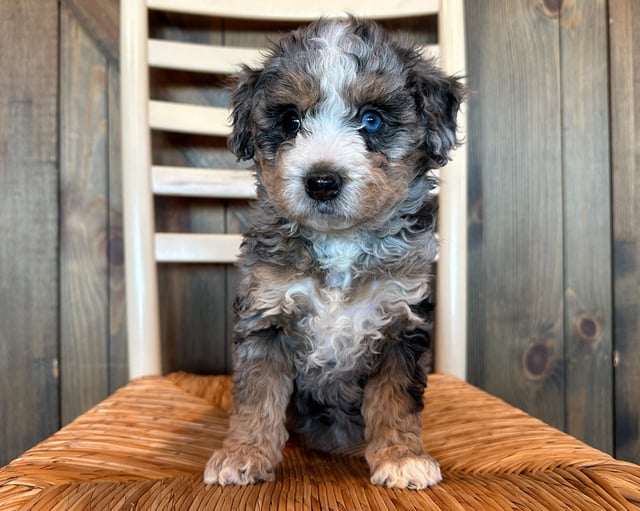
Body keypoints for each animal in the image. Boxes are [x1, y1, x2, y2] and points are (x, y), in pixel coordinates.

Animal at [208, 17, 462, 492]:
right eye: (291, 120)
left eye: (372, 119)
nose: (322, 182)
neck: (341, 242)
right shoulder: (267, 316)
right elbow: (257, 395)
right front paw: (242, 454)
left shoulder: (401, 321)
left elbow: (396, 401)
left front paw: (402, 458)